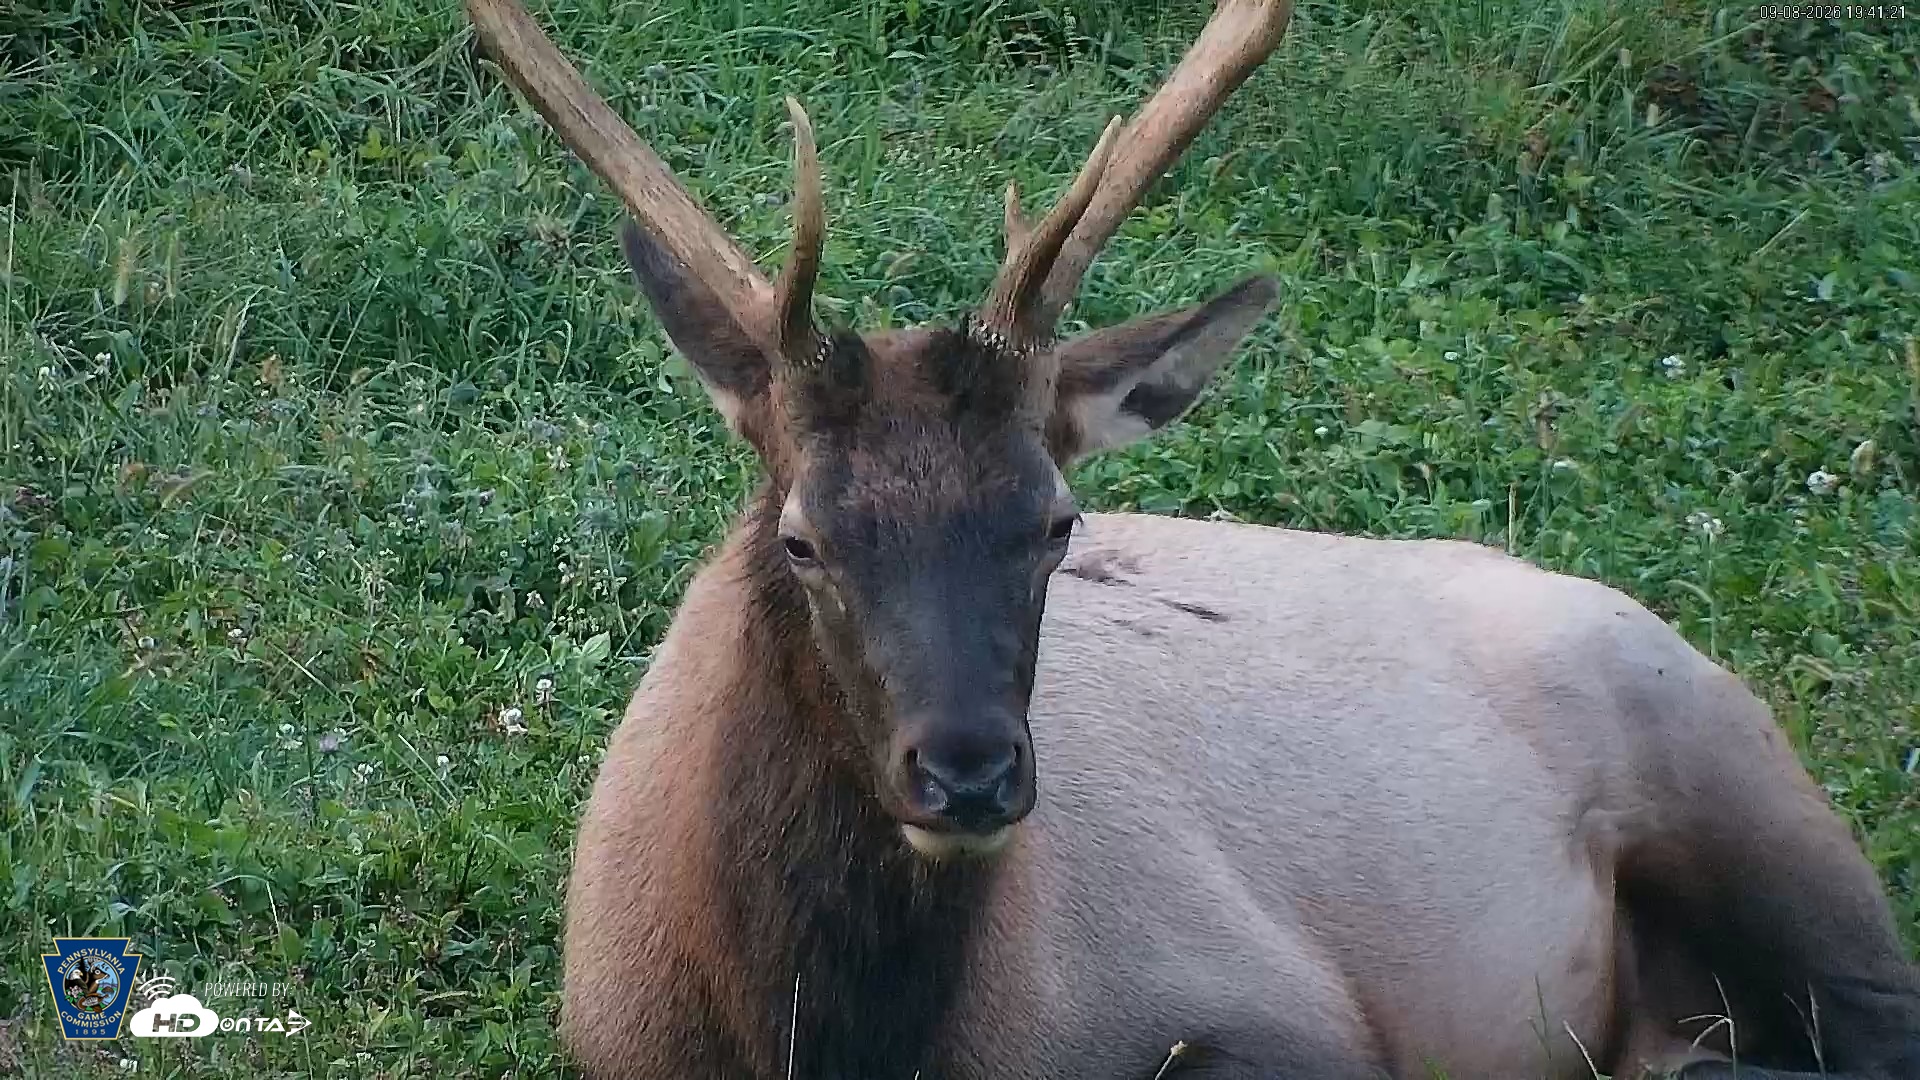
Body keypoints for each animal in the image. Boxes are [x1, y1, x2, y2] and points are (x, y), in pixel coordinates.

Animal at [463, 1, 1920, 1076]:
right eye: (805, 538)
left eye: (1055, 522)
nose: (970, 773)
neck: (831, 1039)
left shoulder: (1289, 1013)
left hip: (1746, 791)